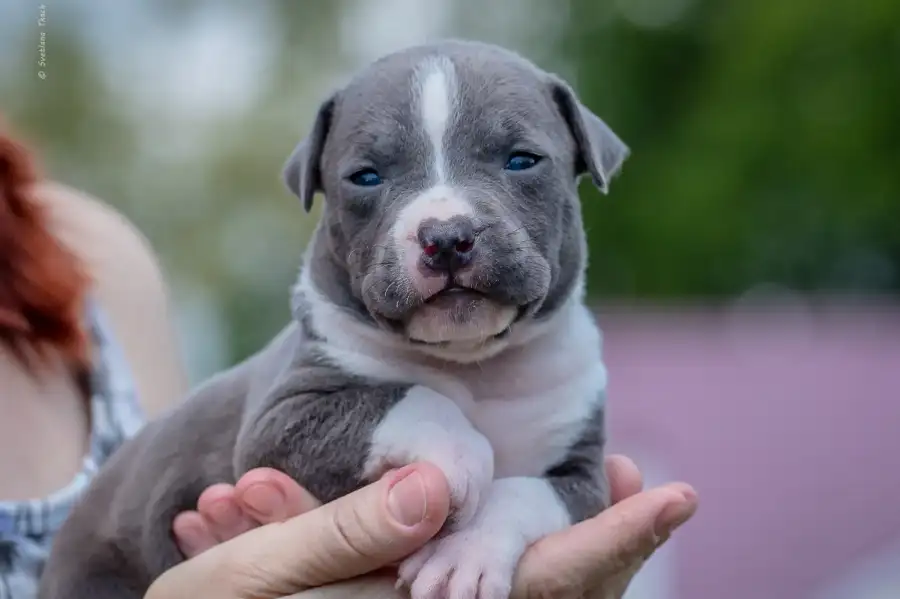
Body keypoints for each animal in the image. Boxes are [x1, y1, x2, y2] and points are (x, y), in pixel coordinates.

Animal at [37, 38, 624, 599]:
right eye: (365, 176)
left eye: (522, 160)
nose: (446, 237)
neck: (472, 363)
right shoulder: (280, 417)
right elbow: (408, 399)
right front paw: (463, 455)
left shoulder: (584, 474)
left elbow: (527, 492)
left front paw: (464, 558)